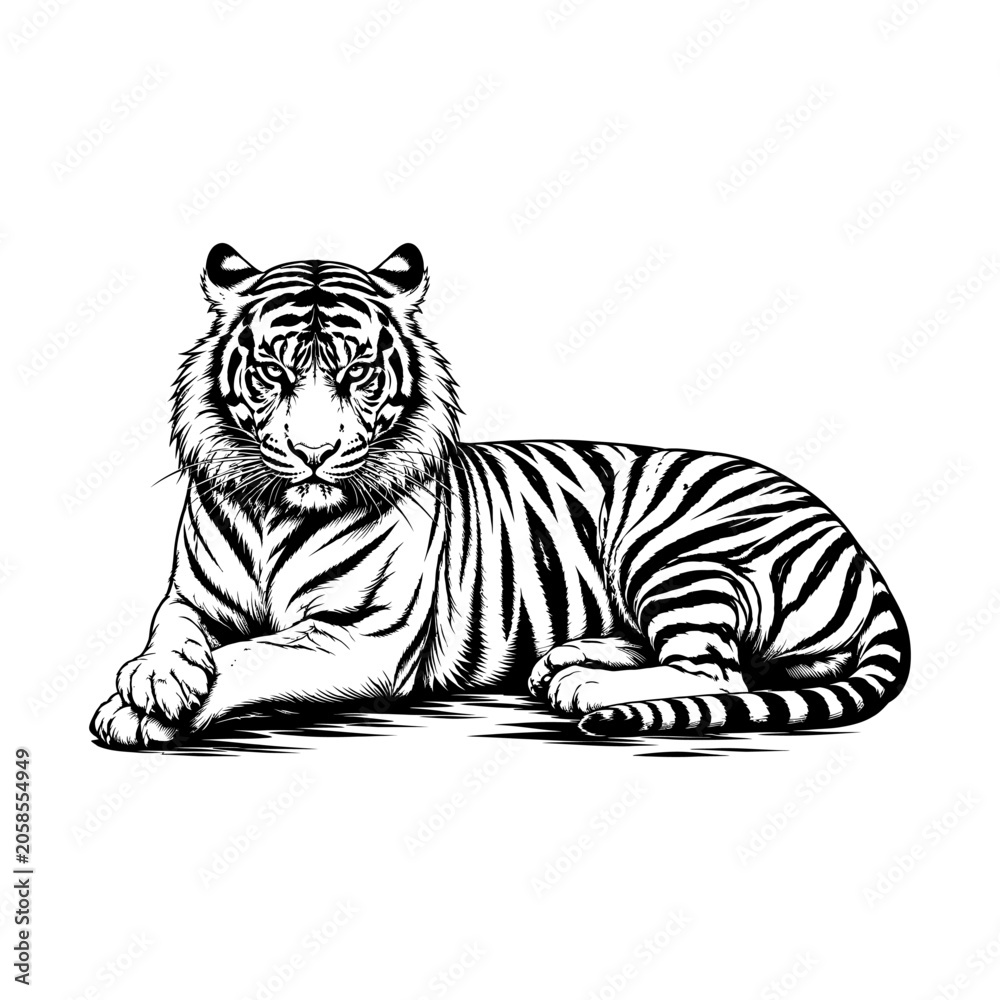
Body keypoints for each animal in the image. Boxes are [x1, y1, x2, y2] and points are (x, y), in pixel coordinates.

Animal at [89, 242, 910, 750]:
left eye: (357, 373)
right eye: (274, 371)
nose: (314, 455)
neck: (275, 512)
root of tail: (856, 549)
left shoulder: (361, 638)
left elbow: (252, 657)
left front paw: (141, 711)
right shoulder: (192, 599)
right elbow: (173, 633)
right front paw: (153, 678)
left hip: (678, 552)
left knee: (714, 672)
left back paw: (587, 687)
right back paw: (567, 663)